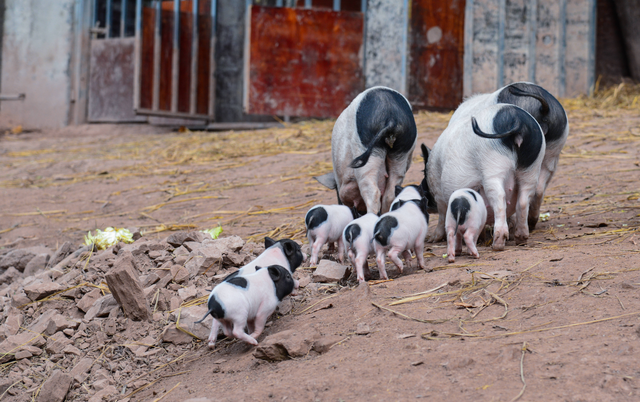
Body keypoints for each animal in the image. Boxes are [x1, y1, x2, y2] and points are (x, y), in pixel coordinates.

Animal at [424, 103, 544, 250]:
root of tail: (517, 120)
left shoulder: (438, 192)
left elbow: (442, 215)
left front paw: (432, 239)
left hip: (492, 163)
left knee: (499, 197)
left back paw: (497, 244)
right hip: (532, 167)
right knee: (523, 200)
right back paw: (521, 239)